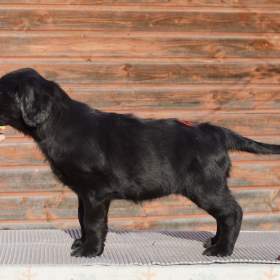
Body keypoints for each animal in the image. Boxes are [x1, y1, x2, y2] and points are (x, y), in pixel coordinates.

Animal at [0, 68, 280, 258]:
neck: (58, 121)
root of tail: (218, 132)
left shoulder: (95, 192)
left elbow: (92, 222)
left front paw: (90, 250)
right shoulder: (84, 192)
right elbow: (81, 218)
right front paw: (82, 243)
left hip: (206, 186)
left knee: (232, 212)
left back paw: (222, 249)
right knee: (224, 215)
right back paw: (214, 242)